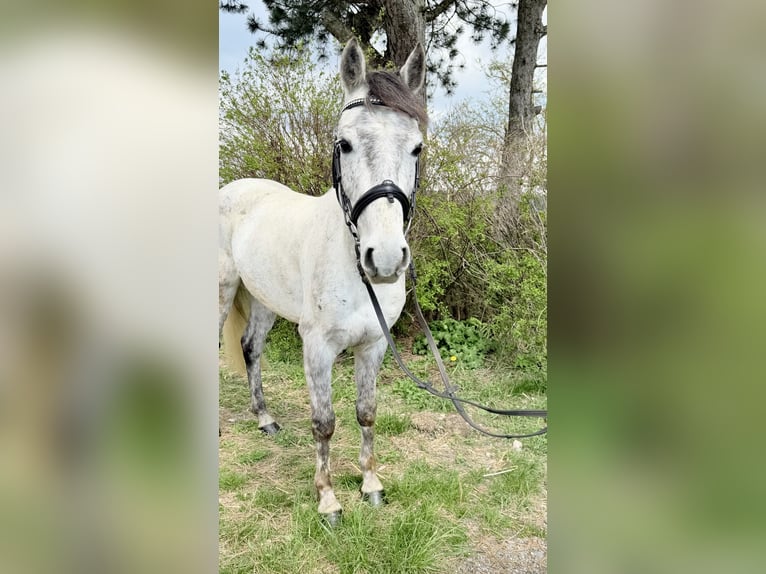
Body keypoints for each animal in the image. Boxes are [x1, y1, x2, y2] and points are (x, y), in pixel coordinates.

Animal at [218, 38, 427, 524]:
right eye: (344, 144)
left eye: (416, 149)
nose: (384, 258)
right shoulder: (317, 348)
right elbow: (325, 423)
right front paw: (328, 500)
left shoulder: (373, 345)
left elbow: (366, 413)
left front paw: (370, 484)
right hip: (220, 292)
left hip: (263, 301)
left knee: (250, 349)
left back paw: (265, 419)